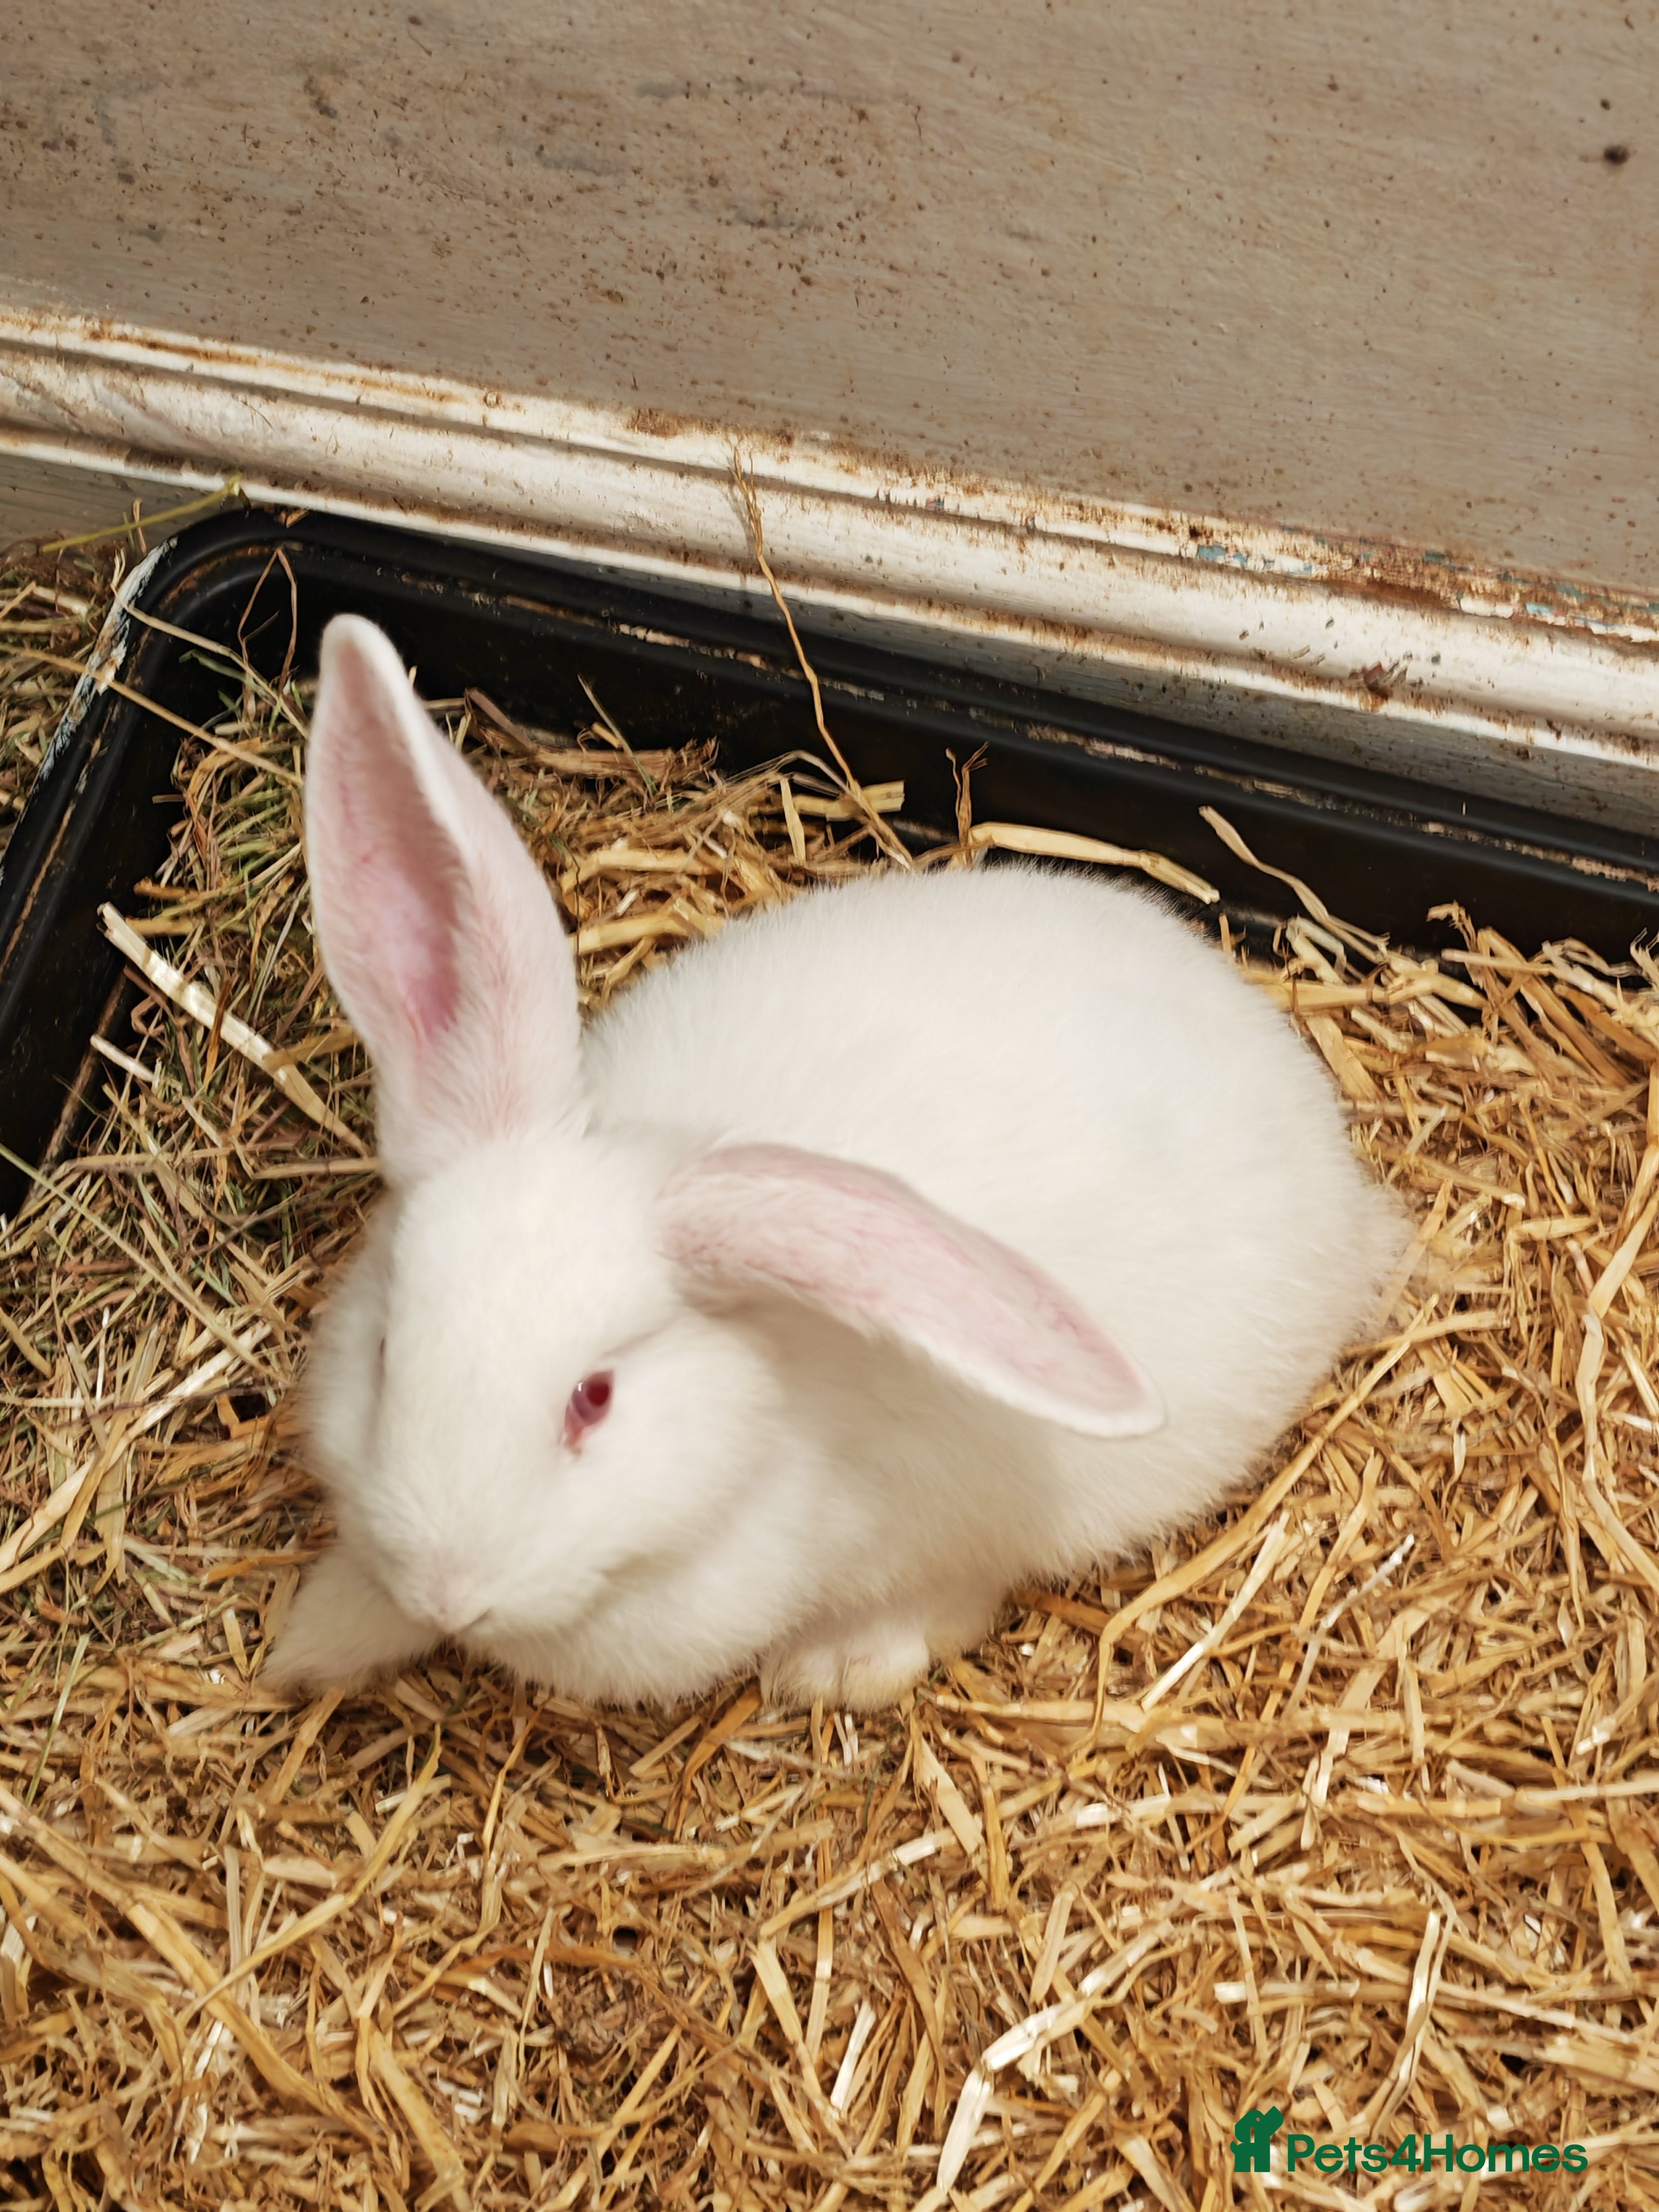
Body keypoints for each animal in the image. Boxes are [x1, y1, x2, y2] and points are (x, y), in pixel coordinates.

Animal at [266, 614, 1404, 1711]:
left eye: (594, 1397)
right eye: (385, 1351)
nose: (447, 1590)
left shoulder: (938, 1538)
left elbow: (940, 1612)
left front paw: (838, 1673)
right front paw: (309, 1642)